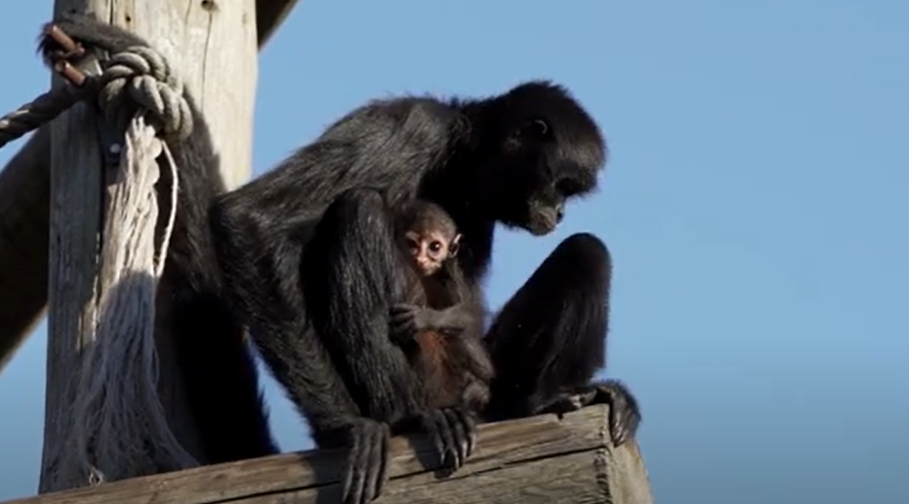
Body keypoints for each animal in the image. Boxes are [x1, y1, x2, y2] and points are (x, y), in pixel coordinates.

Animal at [386, 199, 494, 416]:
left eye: (434, 247)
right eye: (412, 245)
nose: (421, 259)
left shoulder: (450, 270)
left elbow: (472, 314)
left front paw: (425, 318)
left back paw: (478, 388)